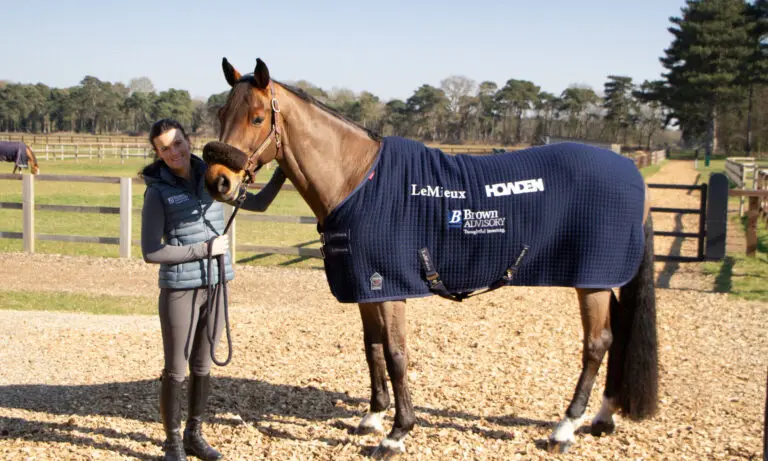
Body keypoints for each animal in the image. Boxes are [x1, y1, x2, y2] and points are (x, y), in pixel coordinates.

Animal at [202, 58, 659, 457]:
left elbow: (396, 354)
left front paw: (396, 435)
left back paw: (565, 428)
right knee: (617, 336)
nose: (218, 182)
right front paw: (373, 417)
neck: (357, 180)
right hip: (601, 279)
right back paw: (602, 417)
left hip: (591, 280)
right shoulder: (366, 286)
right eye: (222, 111)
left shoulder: (389, 288)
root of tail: (632, 172)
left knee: (597, 344)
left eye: (257, 117)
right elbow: (371, 347)